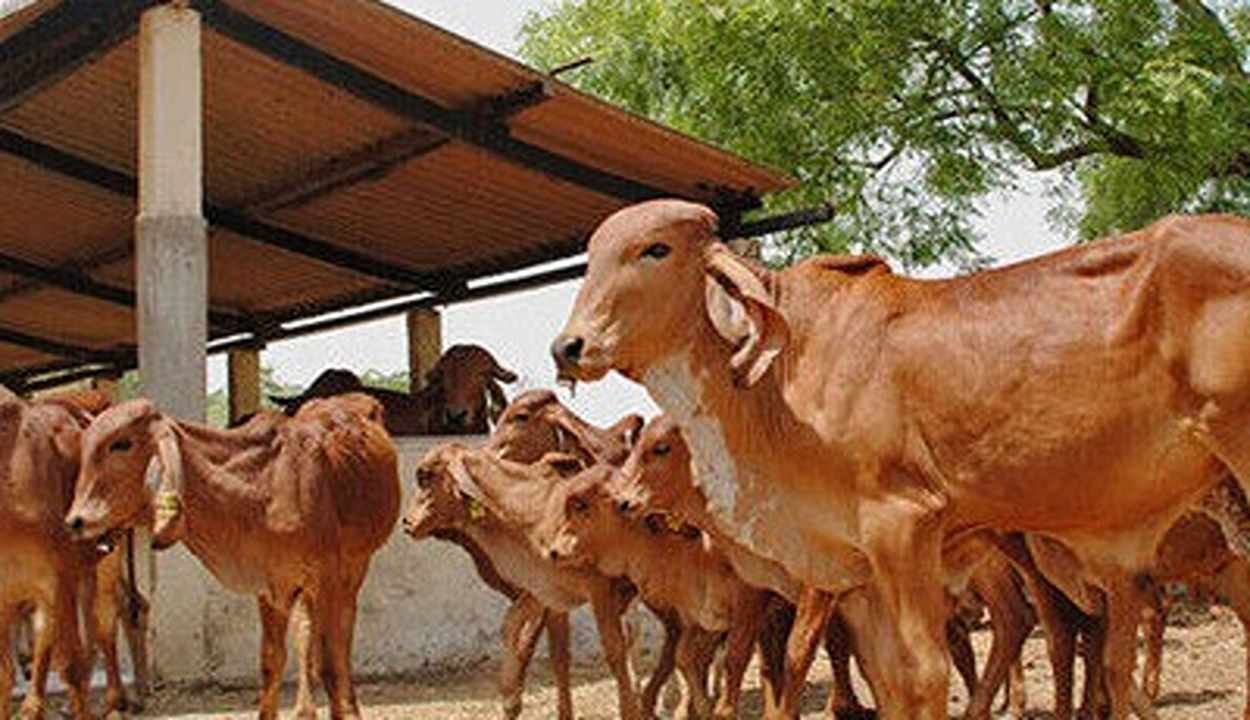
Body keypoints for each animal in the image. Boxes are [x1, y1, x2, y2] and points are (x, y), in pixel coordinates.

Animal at [64, 393, 401, 720]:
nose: (75, 521)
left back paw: (349, 703)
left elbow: (331, 662)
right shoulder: (270, 586)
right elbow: (272, 661)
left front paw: (345, 709)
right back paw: (304, 710)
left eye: (122, 444)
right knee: (306, 632)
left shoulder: (327, 576)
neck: (259, 490)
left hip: (355, 566)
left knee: (344, 631)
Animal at [552, 199, 1250, 718]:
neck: (782, 379)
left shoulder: (904, 523)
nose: (569, 347)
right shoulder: (858, 568)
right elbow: (880, 676)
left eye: (655, 249)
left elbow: (920, 672)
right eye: (590, 258)